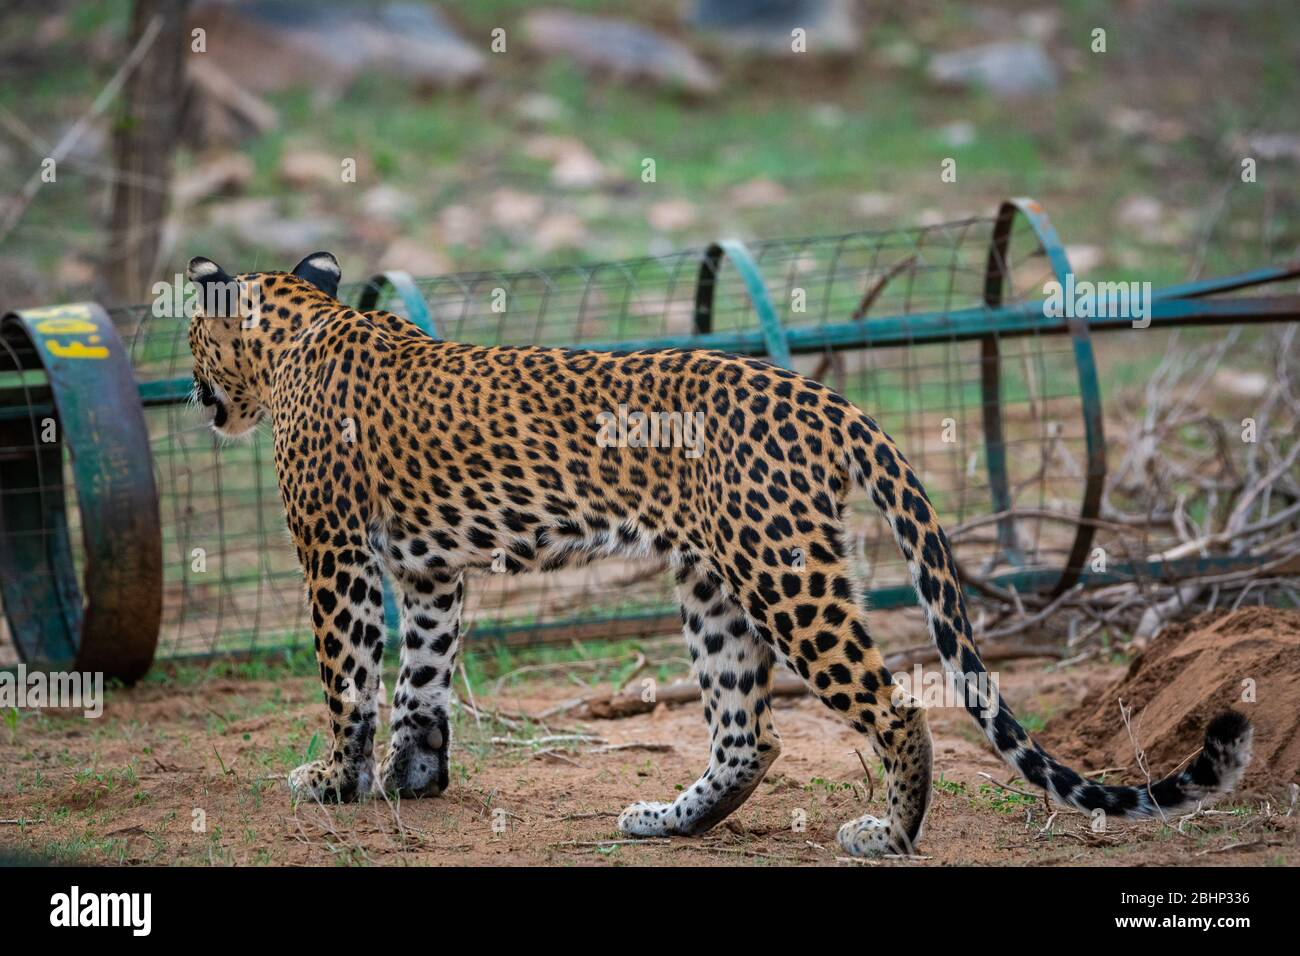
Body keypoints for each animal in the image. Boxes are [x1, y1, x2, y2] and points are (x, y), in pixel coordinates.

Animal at [183, 252, 1248, 858]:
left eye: (189, 331)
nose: (195, 394)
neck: (299, 329)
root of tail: (828, 398)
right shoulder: (430, 570)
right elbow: (420, 676)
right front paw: (414, 777)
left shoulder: (334, 553)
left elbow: (349, 676)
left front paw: (334, 782)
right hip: (713, 581)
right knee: (751, 734)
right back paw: (670, 821)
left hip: (783, 574)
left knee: (896, 707)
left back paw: (889, 834)